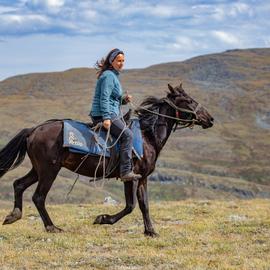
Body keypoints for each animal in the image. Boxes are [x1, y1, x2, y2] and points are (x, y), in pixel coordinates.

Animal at [1, 83, 214, 235]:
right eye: (188, 100)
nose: (210, 119)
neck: (147, 136)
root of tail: (34, 130)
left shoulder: (139, 178)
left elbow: (140, 204)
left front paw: (149, 231)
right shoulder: (133, 176)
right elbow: (133, 205)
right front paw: (103, 219)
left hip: (38, 169)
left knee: (19, 184)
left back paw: (13, 216)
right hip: (49, 170)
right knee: (38, 196)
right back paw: (52, 227)